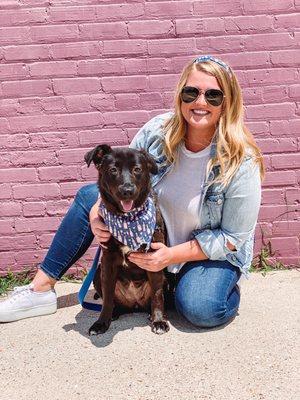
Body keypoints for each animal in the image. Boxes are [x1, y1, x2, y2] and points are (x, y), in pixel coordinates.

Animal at [83, 145, 170, 334]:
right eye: (113, 170)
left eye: (137, 169)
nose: (127, 191)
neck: (128, 219)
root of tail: (134, 303)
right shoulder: (107, 261)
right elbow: (108, 297)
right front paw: (102, 322)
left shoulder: (155, 258)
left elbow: (157, 294)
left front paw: (159, 321)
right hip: (98, 272)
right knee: (111, 300)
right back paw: (115, 313)